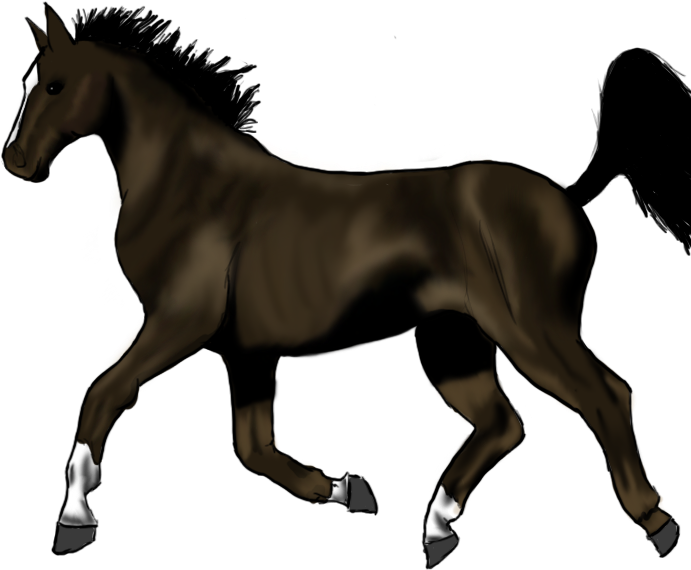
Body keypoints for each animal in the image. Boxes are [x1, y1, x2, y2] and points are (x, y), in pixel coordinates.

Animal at [5, 5, 678, 562]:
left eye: (56, 85)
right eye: (28, 86)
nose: (15, 160)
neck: (190, 188)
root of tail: (570, 214)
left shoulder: (179, 322)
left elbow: (106, 394)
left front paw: (74, 514)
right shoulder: (246, 353)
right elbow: (253, 447)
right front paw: (341, 486)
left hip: (527, 330)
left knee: (603, 395)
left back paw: (654, 520)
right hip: (453, 346)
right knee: (503, 422)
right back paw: (438, 521)